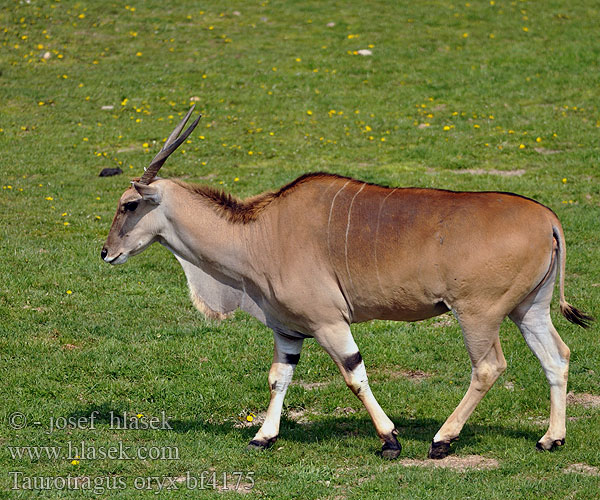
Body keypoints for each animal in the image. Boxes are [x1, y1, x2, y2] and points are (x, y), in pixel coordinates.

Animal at [102, 107, 592, 458]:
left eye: (129, 205)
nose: (105, 252)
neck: (260, 232)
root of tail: (547, 219)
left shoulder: (330, 323)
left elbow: (354, 376)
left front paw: (390, 440)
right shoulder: (289, 331)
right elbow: (279, 377)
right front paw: (263, 436)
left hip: (478, 314)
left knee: (489, 367)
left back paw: (442, 439)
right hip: (528, 310)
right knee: (557, 357)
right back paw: (551, 439)